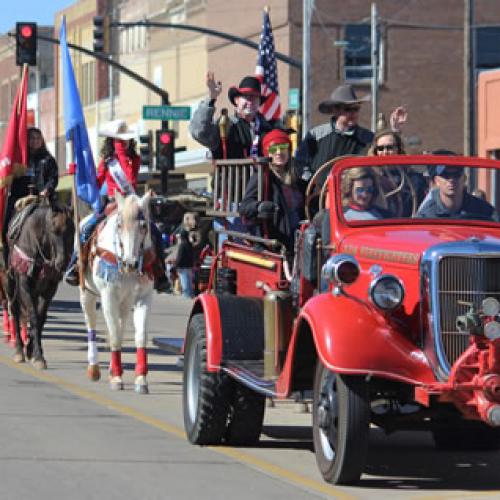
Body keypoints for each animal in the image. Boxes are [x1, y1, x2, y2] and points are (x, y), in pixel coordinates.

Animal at [7, 199, 74, 368]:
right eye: (53, 230)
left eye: (72, 230)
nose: (62, 263)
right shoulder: (25, 286)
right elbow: (33, 317)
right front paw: (37, 356)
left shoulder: (49, 288)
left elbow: (40, 317)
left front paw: (34, 351)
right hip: (10, 284)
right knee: (14, 311)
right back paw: (19, 350)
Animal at [79, 193, 154, 392]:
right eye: (119, 225)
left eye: (144, 225)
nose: (131, 263)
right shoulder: (109, 296)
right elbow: (114, 337)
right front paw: (117, 379)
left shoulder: (144, 297)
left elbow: (140, 336)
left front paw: (141, 379)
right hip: (87, 294)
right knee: (92, 324)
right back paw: (94, 368)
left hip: (125, 302)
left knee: (121, 326)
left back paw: (113, 369)